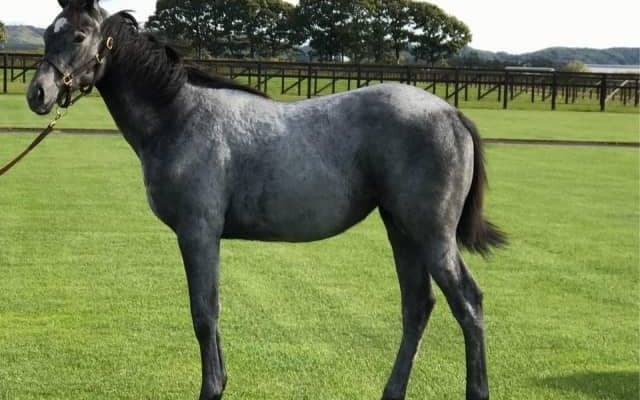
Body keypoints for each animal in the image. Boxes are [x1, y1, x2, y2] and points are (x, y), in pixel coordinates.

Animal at [26, 1, 505, 399]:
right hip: (401, 229)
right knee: (417, 306)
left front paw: (212, 388)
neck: (180, 115)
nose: (38, 94)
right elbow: (210, 312)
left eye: (79, 35)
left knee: (468, 303)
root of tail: (451, 113)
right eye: (49, 34)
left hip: (432, 236)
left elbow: (204, 313)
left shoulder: (197, 233)